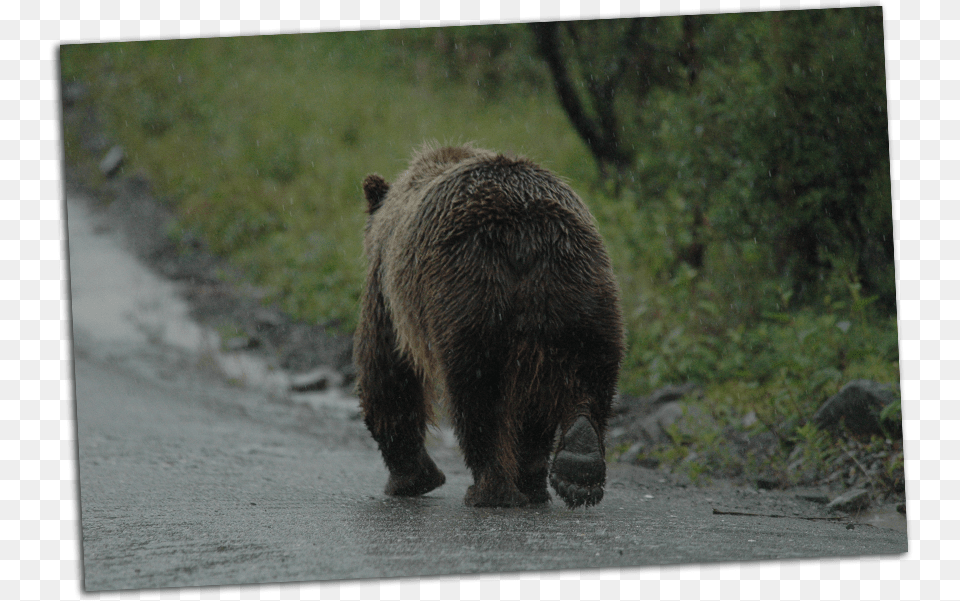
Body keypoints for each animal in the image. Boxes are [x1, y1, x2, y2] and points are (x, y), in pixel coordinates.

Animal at [352, 144, 624, 506]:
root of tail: (525, 232)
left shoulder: (387, 292)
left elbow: (387, 374)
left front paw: (411, 478)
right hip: (581, 287)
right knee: (588, 371)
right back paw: (578, 466)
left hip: (470, 289)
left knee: (478, 392)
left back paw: (488, 488)